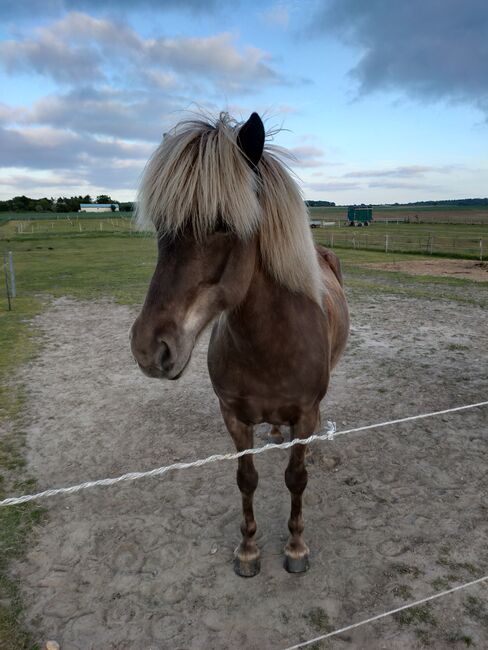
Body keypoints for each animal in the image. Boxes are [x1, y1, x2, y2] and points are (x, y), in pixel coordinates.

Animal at [130, 112, 348, 576]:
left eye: (223, 224)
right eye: (160, 228)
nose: (148, 347)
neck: (269, 346)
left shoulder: (306, 412)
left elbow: (296, 479)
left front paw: (295, 548)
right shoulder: (232, 415)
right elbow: (245, 479)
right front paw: (247, 549)